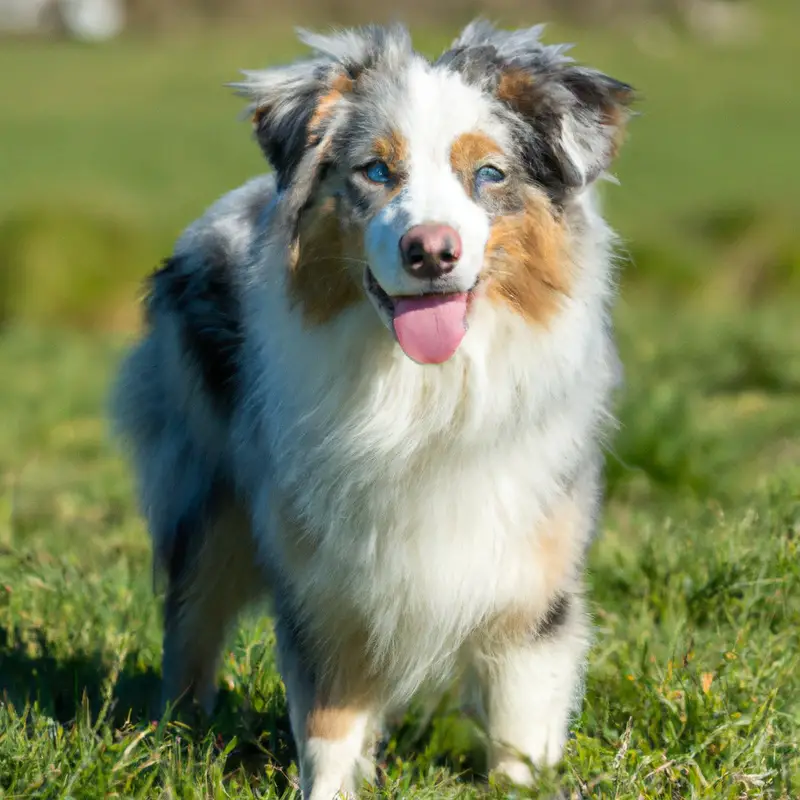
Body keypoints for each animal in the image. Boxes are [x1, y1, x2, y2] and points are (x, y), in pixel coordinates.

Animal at [111, 20, 636, 800]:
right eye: (375, 172)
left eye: (489, 174)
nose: (431, 252)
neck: (426, 396)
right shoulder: (326, 583)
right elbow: (327, 723)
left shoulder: (531, 578)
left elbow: (519, 727)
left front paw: (518, 781)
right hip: (208, 499)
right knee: (191, 626)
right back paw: (170, 739)